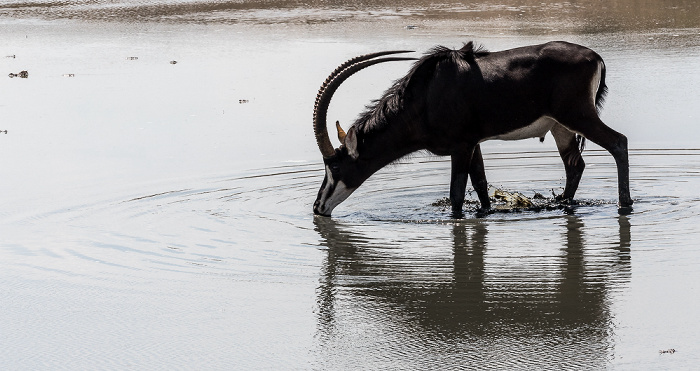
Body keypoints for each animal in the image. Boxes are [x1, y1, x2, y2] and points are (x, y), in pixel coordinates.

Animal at [312, 42, 636, 218]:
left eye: (335, 167)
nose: (318, 207)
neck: (424, 95)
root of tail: (595, 58)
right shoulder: (474, 143)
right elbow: (480, 183)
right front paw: (485, 212)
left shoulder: (460, 146)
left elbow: (456, 193)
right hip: (561, 127)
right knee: (574, 164)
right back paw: (563, 203)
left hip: (578, 116)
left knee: (618, 142)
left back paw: (625, 203)